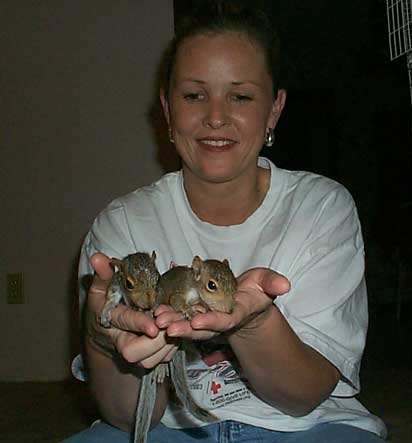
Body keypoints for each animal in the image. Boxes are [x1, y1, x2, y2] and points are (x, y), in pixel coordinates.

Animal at [98, 253, 237, 443]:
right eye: (211, 285)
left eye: (234, 281)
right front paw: (189, 311)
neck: (194, 284)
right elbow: (177, 301)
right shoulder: (180, 291)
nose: (229, 310)